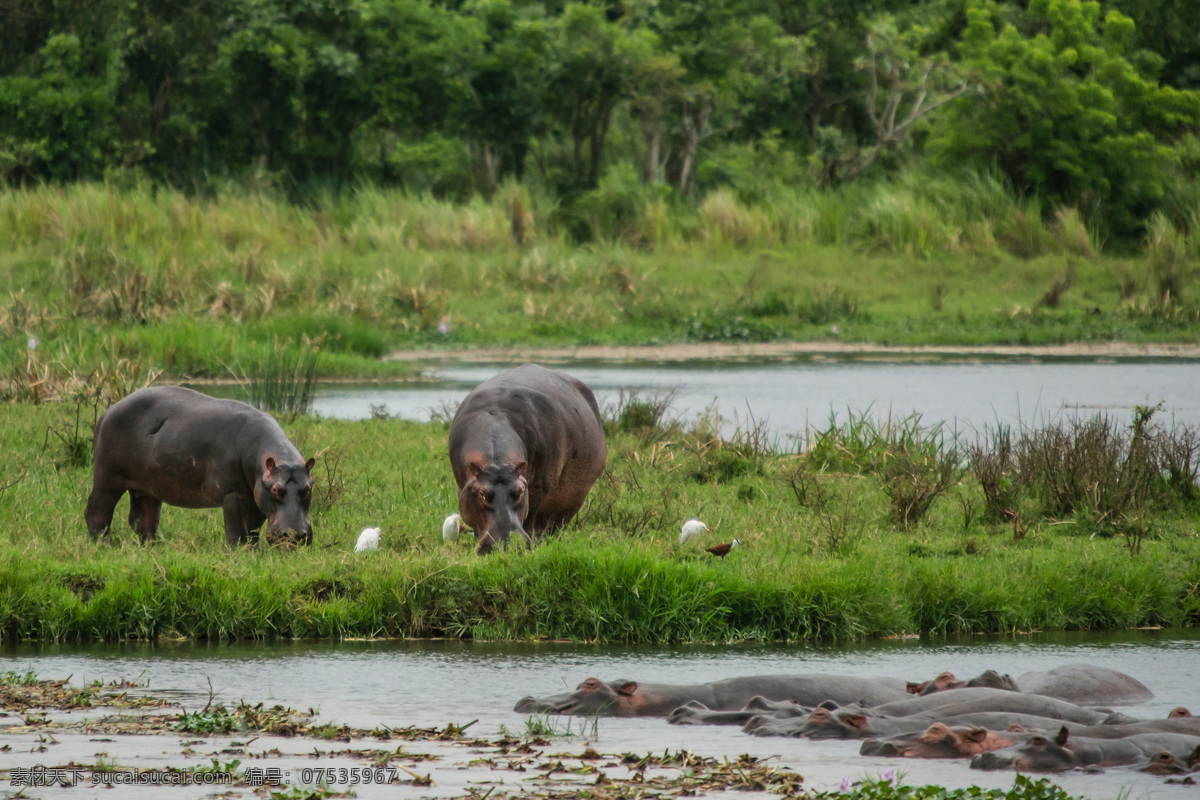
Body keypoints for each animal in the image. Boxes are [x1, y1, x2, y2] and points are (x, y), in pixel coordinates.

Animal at [86, 383, 316, 546]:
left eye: (307, 489)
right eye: (276, 490)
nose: (295, 535)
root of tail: (107, 411)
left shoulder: (257, 495)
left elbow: (253, 529)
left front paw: (254, 551)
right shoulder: (232, 494)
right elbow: (236, 531)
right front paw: (239, 551)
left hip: (147, 487)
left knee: (143, 520)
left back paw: (159, 547)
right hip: (107, 476)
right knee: (97, 512)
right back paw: (106, 545)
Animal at [446, 367, 604, 554]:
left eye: (520, 491)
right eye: (482, 494)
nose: (506, 544)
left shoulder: (537, 488)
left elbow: (529, 517)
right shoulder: (462, 487)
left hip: (575, 497)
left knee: (556, 524)